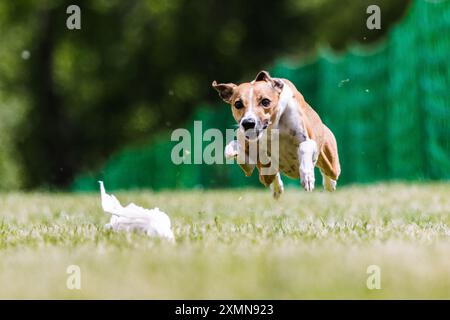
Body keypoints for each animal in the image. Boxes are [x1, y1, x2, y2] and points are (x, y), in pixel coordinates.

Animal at [213, 71, 340, 199]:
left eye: (265, 101)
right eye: (238, 104)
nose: (248, 123)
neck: (272, 128)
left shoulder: (308, 140)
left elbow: (304, 146)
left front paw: (307, 176)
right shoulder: (253, 165)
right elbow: (241, 153)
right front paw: (231, 150)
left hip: (331, 164)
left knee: (330, 171)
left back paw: (330, 184)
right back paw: (277, 188)